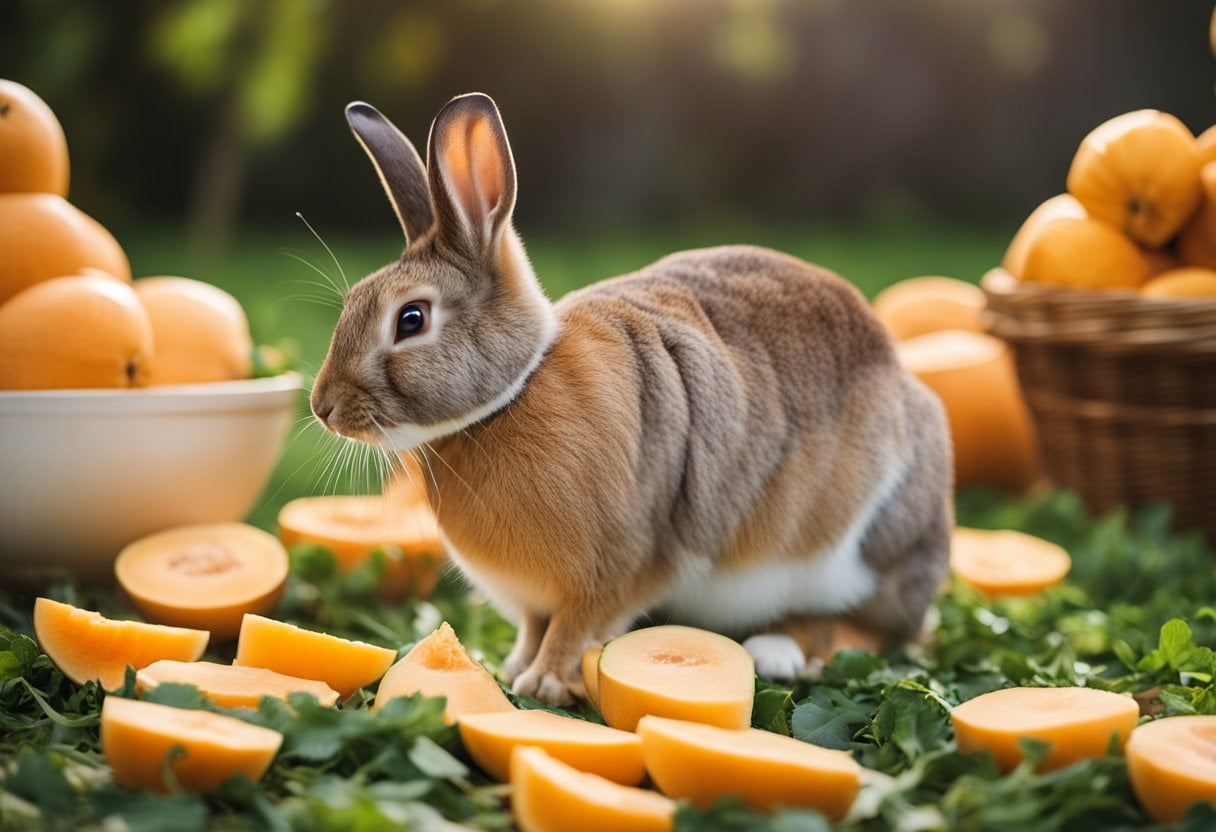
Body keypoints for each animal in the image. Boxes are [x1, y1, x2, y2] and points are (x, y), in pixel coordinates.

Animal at [311, 92, 953, 705]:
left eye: (411, 319)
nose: (324, 407)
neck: (507, 400)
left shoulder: (619, 566)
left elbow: (574, 627)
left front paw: (545, 683)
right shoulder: (538, 600)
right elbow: (536, 626)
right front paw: (515, 667)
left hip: (870, 548)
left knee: (864, 631)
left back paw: (778, 651)